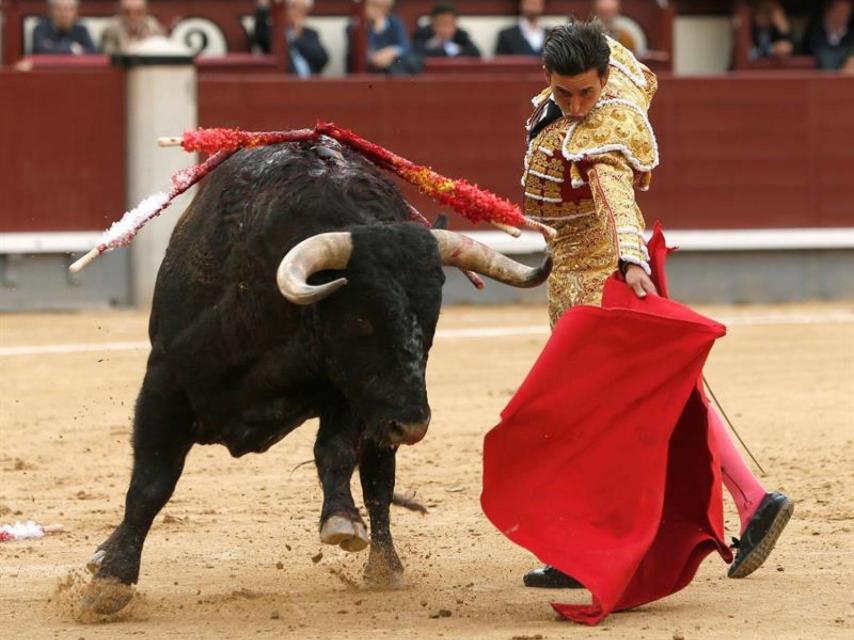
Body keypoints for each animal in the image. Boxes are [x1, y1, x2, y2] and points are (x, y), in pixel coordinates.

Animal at [80, 141, 552, 616]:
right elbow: (151, 481)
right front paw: (111, 580)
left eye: (432, 318)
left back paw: (384, 567)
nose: (412, 424)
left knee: (378, 481)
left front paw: (342, 520)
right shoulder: (165, 381)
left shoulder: (353, 392)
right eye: (362, 318)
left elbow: (336, 453)